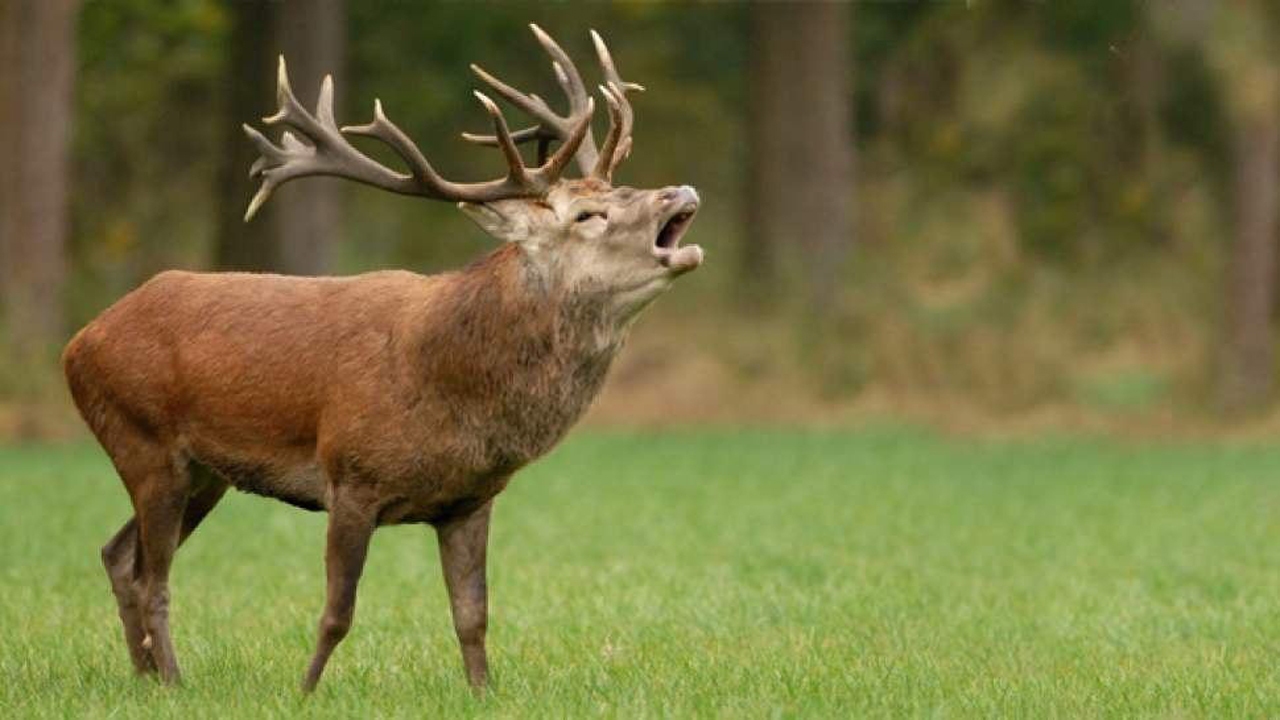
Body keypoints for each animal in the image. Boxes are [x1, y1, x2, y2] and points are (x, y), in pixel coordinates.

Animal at [60, 25, 701, 691]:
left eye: (619, 189)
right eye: (587, 215)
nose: (678, 191)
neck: (449, 384)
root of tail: (79, 342)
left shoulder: (471, 499)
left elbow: (473, 615)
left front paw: (482, 693)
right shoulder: (351, 475)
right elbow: (337, 613)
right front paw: (306, 691)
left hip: (206, 473)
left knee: (119, 555)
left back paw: (146, 678)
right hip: (144, 440)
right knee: (152, 577)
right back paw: (174, 681)